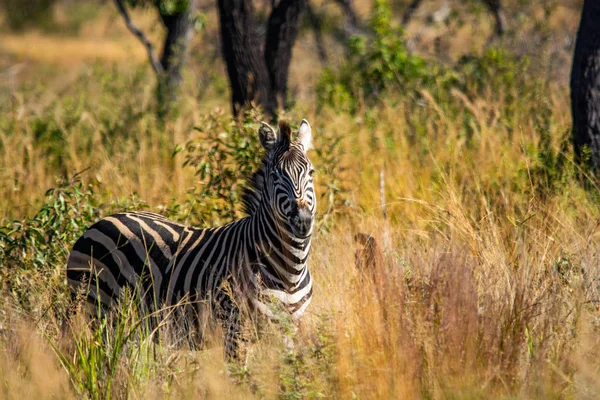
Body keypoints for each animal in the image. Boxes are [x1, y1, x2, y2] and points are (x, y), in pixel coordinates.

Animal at [65, 119, 316, 360]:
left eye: (311, 173)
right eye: (275, 176)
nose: (303, 221)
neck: (289, 270)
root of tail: (98, 222)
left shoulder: (289, 329)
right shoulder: (233, 328)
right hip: (101, 312)